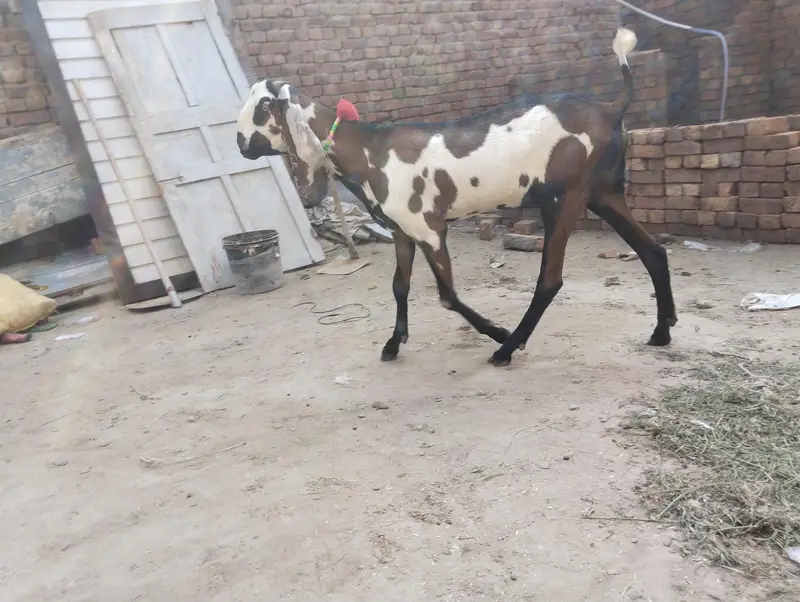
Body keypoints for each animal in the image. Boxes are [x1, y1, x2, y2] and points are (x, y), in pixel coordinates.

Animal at [236, 27, 677, 367]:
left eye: (263, 106)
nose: (240, 143)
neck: (368, 148)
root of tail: (610, 108)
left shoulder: (430, 229)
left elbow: (447, 296)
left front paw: (495, 331)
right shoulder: (402, 231)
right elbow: (399, 286)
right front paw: (394, 343)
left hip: (563, 197)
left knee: (550, 280)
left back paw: (508, 347)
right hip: (603, 193)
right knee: (652, 250)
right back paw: (662, 330)